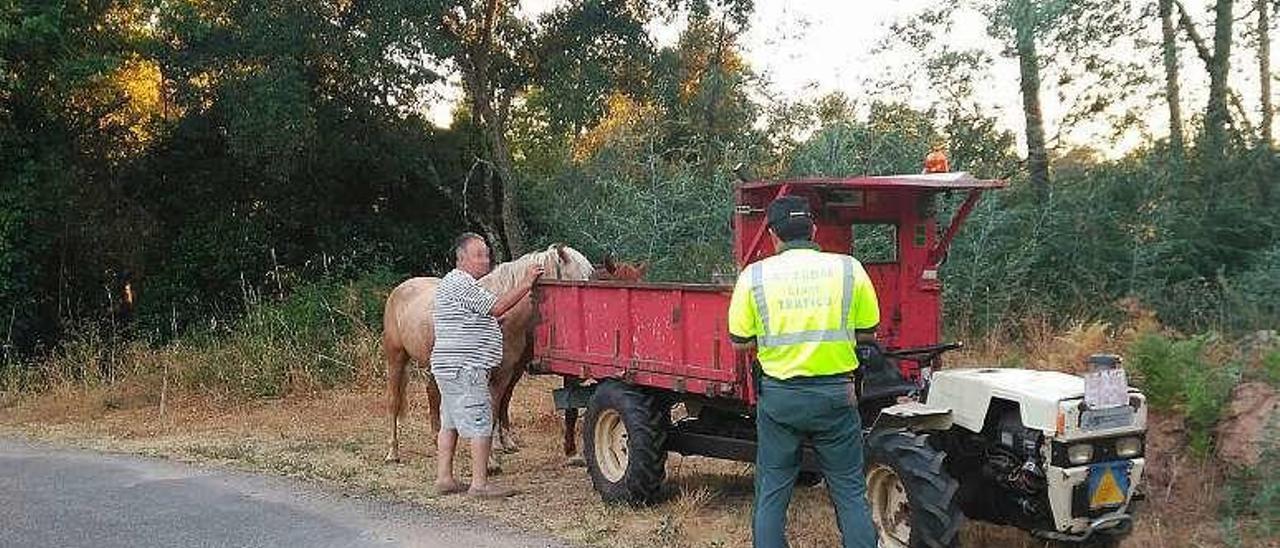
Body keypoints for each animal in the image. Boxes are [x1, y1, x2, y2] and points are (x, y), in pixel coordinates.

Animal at [381, 243, 596, 466]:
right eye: (574, 283)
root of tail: (401, 288)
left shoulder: (507, 372)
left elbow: (500, 405)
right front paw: (491, 460)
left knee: (433, 394)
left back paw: (437, 442)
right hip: (396, 358)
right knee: (394, 401)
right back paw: (392, 453)